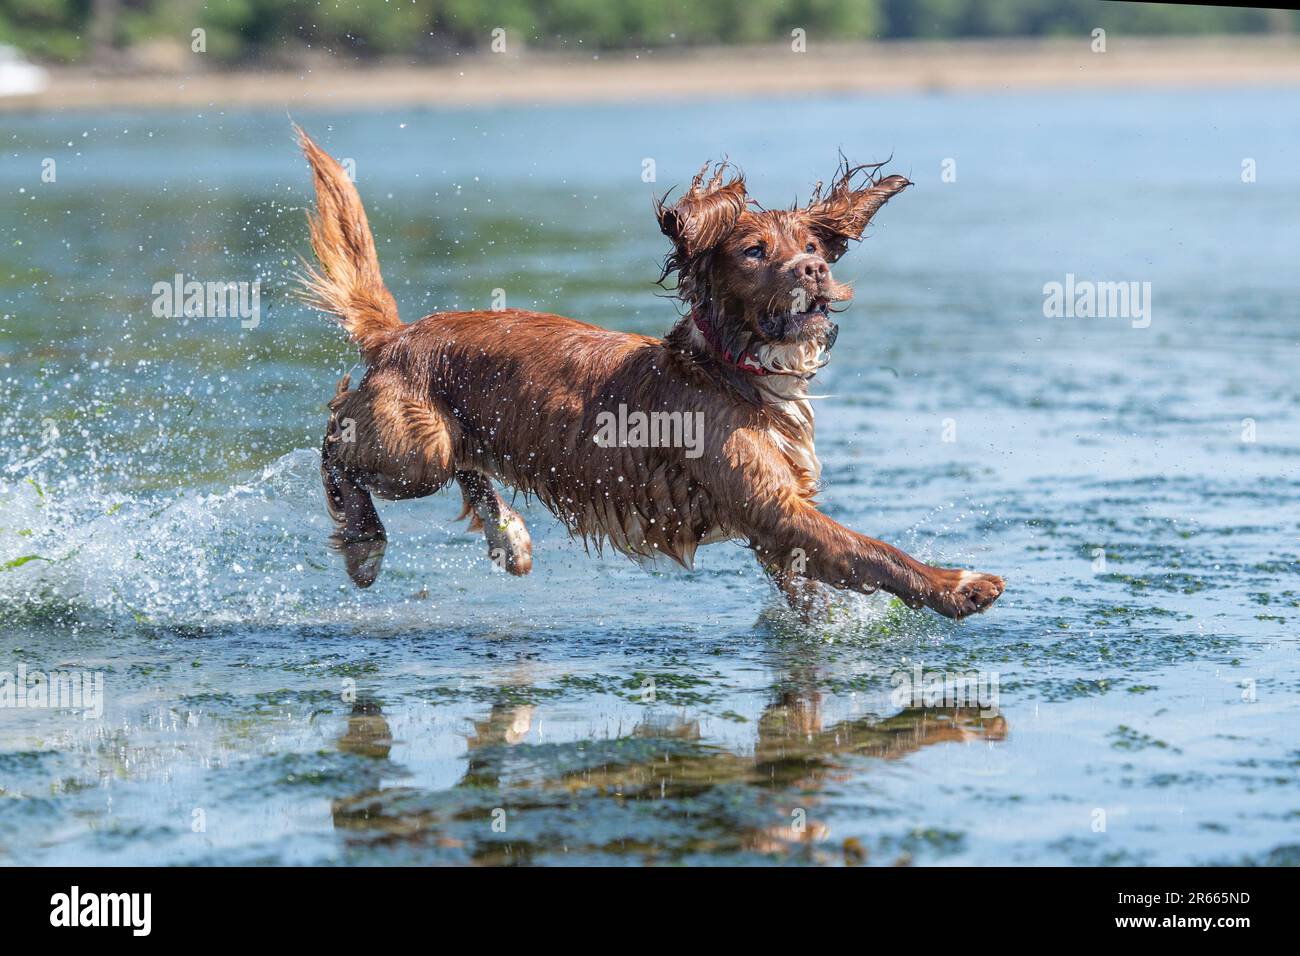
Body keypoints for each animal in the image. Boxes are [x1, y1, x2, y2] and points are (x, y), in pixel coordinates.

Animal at [297, 127, 1003, 621]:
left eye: (810, 245)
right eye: (755, 251)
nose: (815, 270)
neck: (736, 371)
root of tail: (396, 335)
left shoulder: (777, 524)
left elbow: (818, 583)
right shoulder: (774, 508)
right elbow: (876, 552)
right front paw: (958, 587)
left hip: (450, 442)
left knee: (459, 469)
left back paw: (509, 537)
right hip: (417, 452)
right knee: (334, 438)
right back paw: (365, 543)